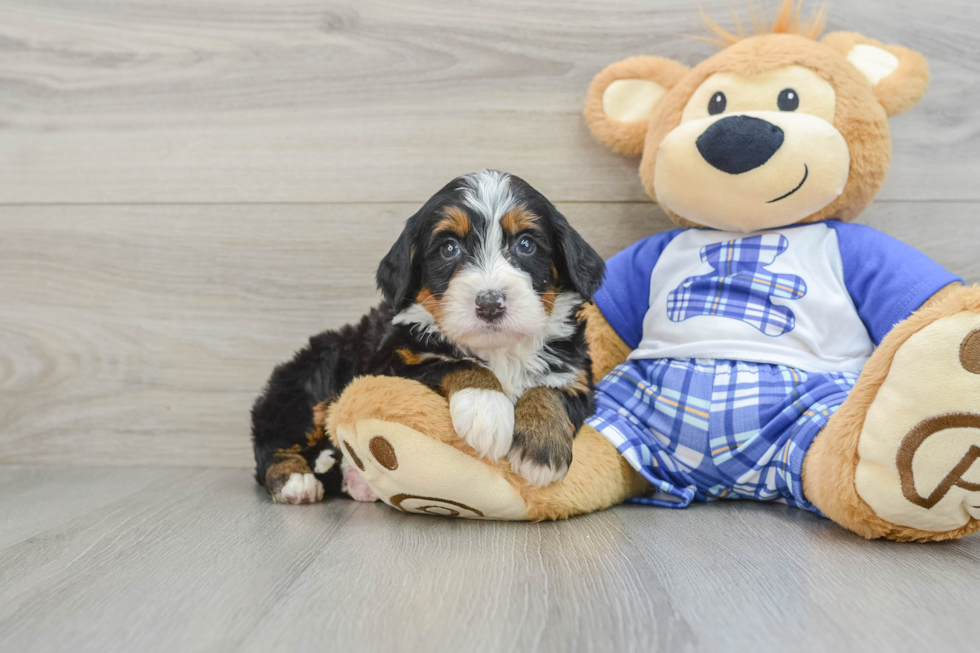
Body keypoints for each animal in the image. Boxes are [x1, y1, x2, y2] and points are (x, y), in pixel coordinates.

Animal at [251, 169, 604, 504]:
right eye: (449, 248)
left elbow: (549, 390)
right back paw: (296, 480)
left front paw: (542, 448)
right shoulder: (394, 364)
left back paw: (353, 478)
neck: (498, 349)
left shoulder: (577, 375)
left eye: (526, 244)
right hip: (308, 384)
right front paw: (485, 408)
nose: (490, 302)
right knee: (274, 437)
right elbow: (455, 363)